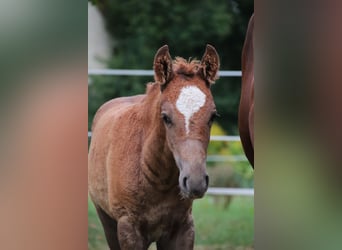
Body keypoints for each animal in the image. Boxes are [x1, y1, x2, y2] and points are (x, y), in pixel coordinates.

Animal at [88, 45, 219, 250]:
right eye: (165, 117)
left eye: (212, 116)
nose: (195, 181)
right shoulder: (128, 229)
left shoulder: (183, 228)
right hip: (107, 220)